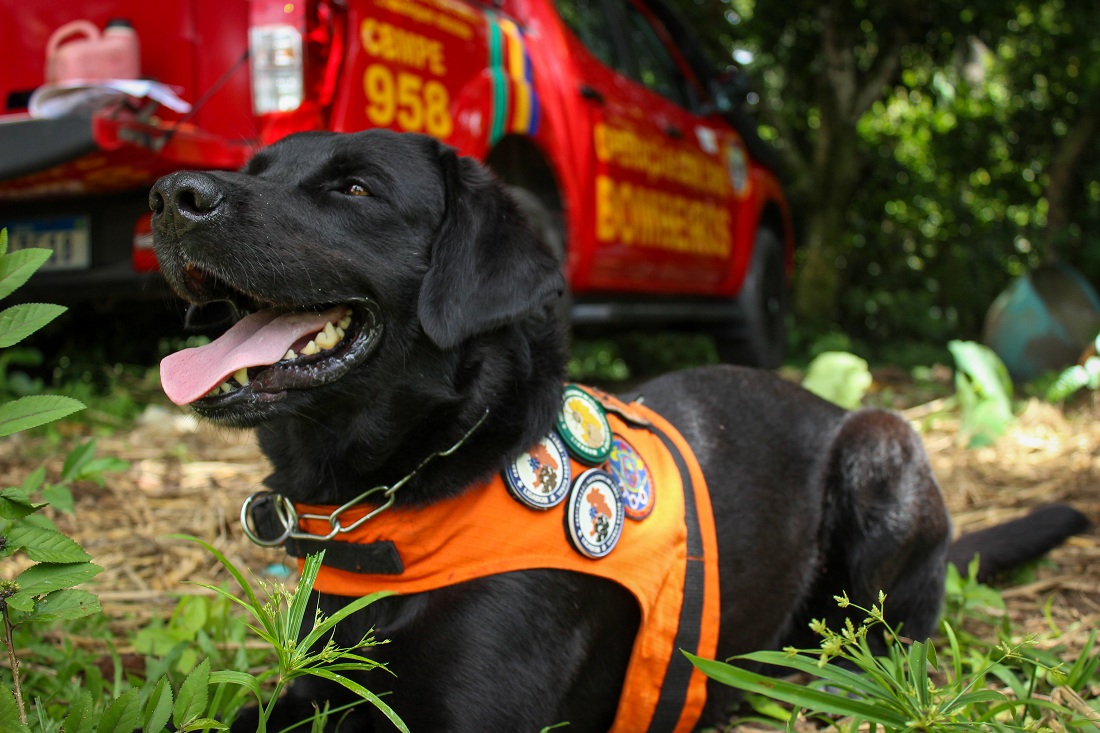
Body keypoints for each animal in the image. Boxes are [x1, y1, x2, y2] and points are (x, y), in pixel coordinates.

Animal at [150, 131, 1086, 730]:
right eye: (256, 167)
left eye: (354, 189)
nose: (170, 196)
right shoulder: (312, 691)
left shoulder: (464, 717)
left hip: (884, 444)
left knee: (888, 640)